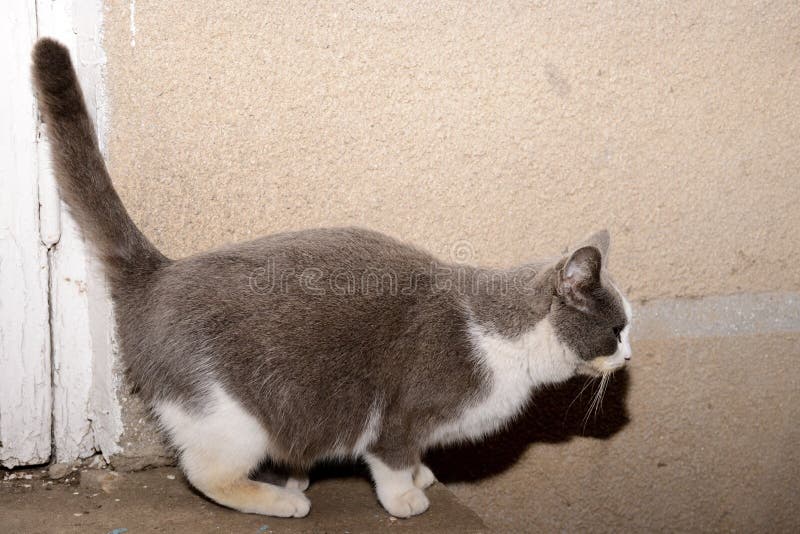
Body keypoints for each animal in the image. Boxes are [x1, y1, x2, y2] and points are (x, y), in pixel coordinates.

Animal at [29, 39, 632, 520]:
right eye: (617, 328)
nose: (628, 358)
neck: (509, 345)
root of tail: (162, 271)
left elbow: (415, 457)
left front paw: (424, 475)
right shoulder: (402, 412)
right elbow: (391, 458)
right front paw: (407, 498)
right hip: (226, 414)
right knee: (205, 472)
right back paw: (283, 499)